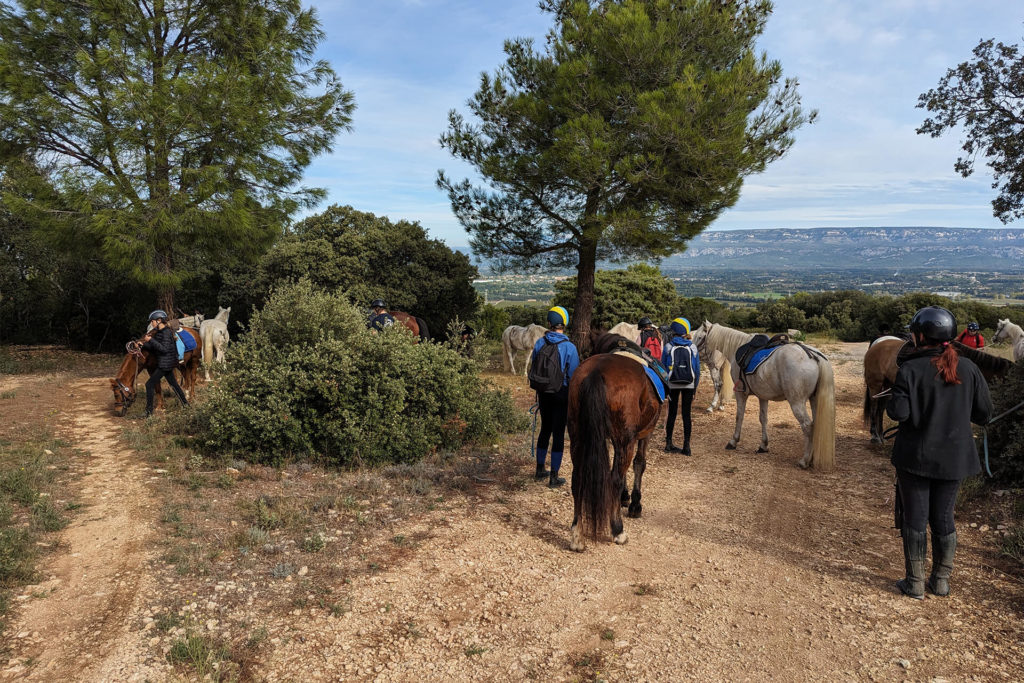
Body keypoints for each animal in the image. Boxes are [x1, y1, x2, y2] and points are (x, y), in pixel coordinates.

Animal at [569, 335, 663, 557]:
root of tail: (596, 373)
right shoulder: (644, 433)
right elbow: (639, 464)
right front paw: (635, 503)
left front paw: (625, 497)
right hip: (625, 440)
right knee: (614, 479)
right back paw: (618, 530)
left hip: (578, 434)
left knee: (578, 479)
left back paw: (577, 535)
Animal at [692, 319, 835, 471]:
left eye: (700, 337)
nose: (691, 350)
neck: (737, 347)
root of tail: (814, 356)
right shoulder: (763, 396)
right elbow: (763, 419)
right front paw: (763, 445)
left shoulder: (741, 394)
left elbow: (739, 417)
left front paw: (733, 441)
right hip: (814, 400)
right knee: (816, 424)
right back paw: (812, 458)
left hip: (797, 402)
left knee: (807, 426)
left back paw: (804, 460)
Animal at [860, 335, 1011, 444]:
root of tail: (875, 346)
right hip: (875, 385)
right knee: (874, 407)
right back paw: (875, 436)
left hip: (887, 386)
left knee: (880, 409)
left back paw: (881, 435)